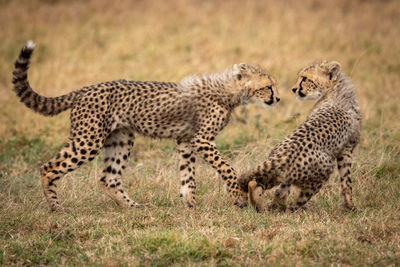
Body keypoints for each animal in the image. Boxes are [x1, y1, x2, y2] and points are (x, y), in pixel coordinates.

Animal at [13, 41, 282, 211]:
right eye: (268, 86)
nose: (278, 98)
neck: (228, 91)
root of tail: (85, 89)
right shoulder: (202, 140)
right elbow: (228, 168)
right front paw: (238, 198)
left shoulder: (186, 140)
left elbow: (188, 175)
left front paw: (190, 204)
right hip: (88, 140)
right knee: (48, 167)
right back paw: (56, 207)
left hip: (121, 138)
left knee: (108, 178)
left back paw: (134, 207)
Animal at [239, 60, 360, 214]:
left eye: (305, 78)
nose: (294, 89)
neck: (336, 88)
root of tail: (282, 156)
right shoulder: (347, 150)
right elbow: (347, 181)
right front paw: (350, 207)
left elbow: (346, 181)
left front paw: (349, 206)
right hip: (321, 174)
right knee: (296, 201)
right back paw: (287, 210)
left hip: (280, 173)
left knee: (263, 186)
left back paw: (264, 206)